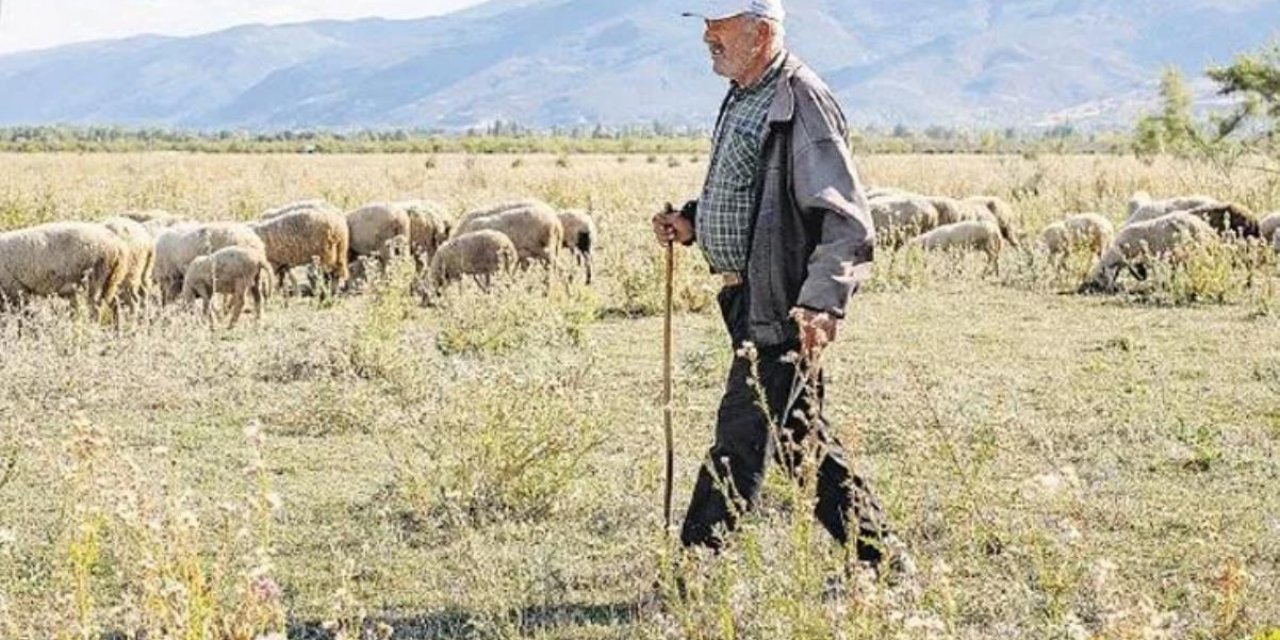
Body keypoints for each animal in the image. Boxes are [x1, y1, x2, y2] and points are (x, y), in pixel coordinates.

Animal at [0, 221, 128, 318]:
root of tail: (118, 246)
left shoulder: (15, 289)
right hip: (110, 281)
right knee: (114, 304)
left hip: (96, 279)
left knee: (96, 308)